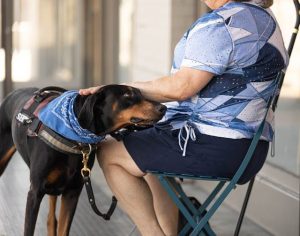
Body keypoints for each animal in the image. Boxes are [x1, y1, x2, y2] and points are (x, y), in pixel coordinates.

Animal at [0, 85, 166, 236]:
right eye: (127, 94)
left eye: (141, 93)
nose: (163, 108)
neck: (74, 136)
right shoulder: (35, 192)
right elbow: (29, 229)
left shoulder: (72, 192)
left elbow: (63, 229)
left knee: (51, 218)